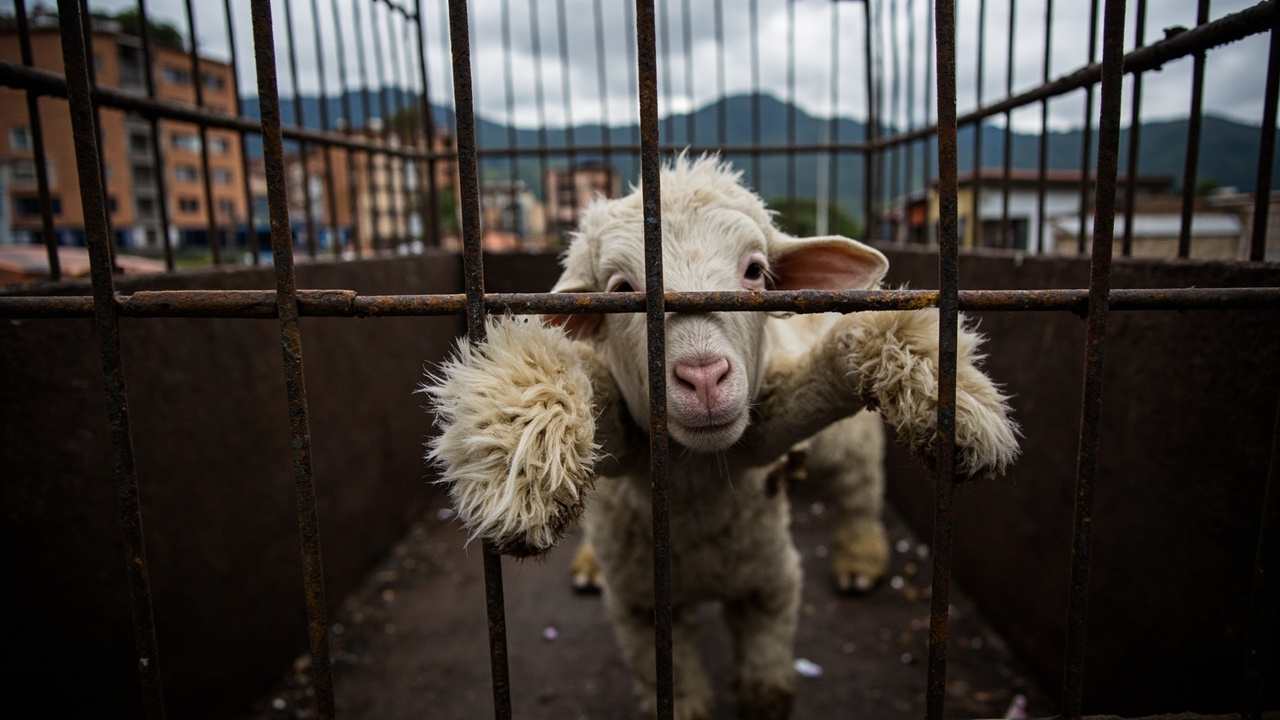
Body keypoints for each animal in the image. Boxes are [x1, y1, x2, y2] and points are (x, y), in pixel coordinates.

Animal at [424, 154, 1019, 720]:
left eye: (754, 271)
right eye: (621, 290)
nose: (705, 377)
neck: (693, 484)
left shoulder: (770, 576)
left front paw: (955, 396)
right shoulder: (640, 605)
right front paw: (515, 463)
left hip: (845, 446)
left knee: (857, 484)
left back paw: (860, 558)